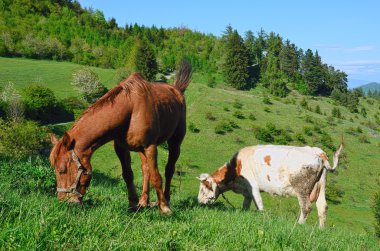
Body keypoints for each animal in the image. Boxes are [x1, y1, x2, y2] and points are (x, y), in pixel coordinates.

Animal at [50, 60, 191, 214]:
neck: (131, 108)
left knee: (169, 169)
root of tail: (177, 90)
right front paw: (133, 204)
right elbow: (128, 174)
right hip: (141, 150)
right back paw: (144, 201)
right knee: (145, 170)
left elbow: (156, 177)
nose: (64, 202)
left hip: (175, 142)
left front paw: (164, 207)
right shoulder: (121, 148)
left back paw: (166, 200)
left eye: (62, 170)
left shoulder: (150, 147)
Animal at [199, 144, 344, 228]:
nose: (199, 201)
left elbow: (259, 203)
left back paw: (299, 225)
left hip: (302, 188)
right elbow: (246, 205)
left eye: (204, 188)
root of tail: (318, 152)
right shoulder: (246, 191)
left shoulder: (253, 186)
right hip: (321, 187)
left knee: (306, 207)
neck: (236, 167)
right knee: (322, 207)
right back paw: (321, 229)